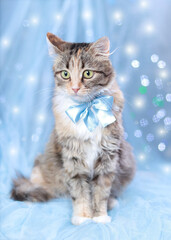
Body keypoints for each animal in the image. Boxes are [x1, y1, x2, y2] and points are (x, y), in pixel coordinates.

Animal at [11, 32, 136, 226]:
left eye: (88, 73)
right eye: (65, 74)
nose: (75, 88)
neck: (87, 110)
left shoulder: (108, 156)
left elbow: (101, 192)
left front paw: (100, 216)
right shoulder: (73, 158)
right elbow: (80, 193)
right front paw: (83, 217)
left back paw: (112, 202)